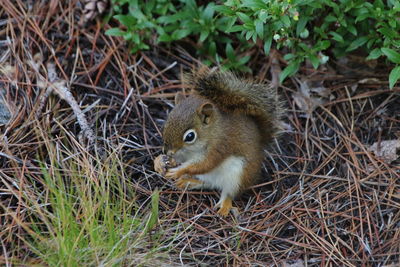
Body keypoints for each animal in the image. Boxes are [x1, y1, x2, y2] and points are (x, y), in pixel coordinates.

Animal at [154, 67, 284, 218]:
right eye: (166, 123)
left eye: (190, 136)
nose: (167, 151)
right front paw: (159, 162)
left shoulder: (220, 145)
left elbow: (205, 164)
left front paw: (178, 171)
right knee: (207, 183)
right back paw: (189, 181)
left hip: (238, 176)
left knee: (228, 193)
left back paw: (224, 207)